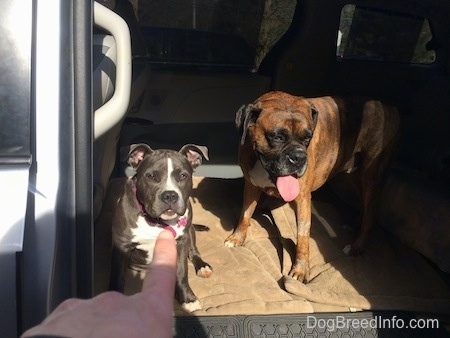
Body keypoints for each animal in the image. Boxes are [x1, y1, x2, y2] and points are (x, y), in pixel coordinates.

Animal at [111, 143, 212, 312]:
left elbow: (182, 271)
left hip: (190, 231)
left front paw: (187, 298)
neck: (156, 221)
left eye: (183, 176)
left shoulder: (182, 241)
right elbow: (118, 276)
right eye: (151, 176)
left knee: (194, 251)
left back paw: (202, 266)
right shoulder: (122, 245)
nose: (170, 195)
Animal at [227, 90, 400, 282]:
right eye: (278, 137)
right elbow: (245, 214)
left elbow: (303, 235)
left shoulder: (302, 198)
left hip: (371, 175)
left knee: (371, 213)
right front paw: (237, 238)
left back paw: (356, 247)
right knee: (365, 205)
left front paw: (300, 270)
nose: (299, 157)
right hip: (355, 175)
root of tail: (389, 107)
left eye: (307, 138)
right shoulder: (251, 185)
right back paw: (355, 224)